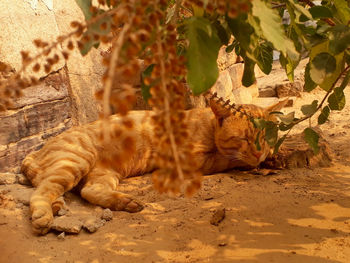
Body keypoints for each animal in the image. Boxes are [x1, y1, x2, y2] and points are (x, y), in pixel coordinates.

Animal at [21, 98, 286, 234]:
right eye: (244, 139)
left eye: (267, 137)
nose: (259, 151)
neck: (209, 126)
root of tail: (33, 153)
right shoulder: (188, 160)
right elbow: (228, 159)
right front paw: (256, 161)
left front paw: (274, 156)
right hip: (75, 161)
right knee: (41, 192)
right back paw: (43, 215)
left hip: (103, 173)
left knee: (88, 190)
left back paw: (127, 202)